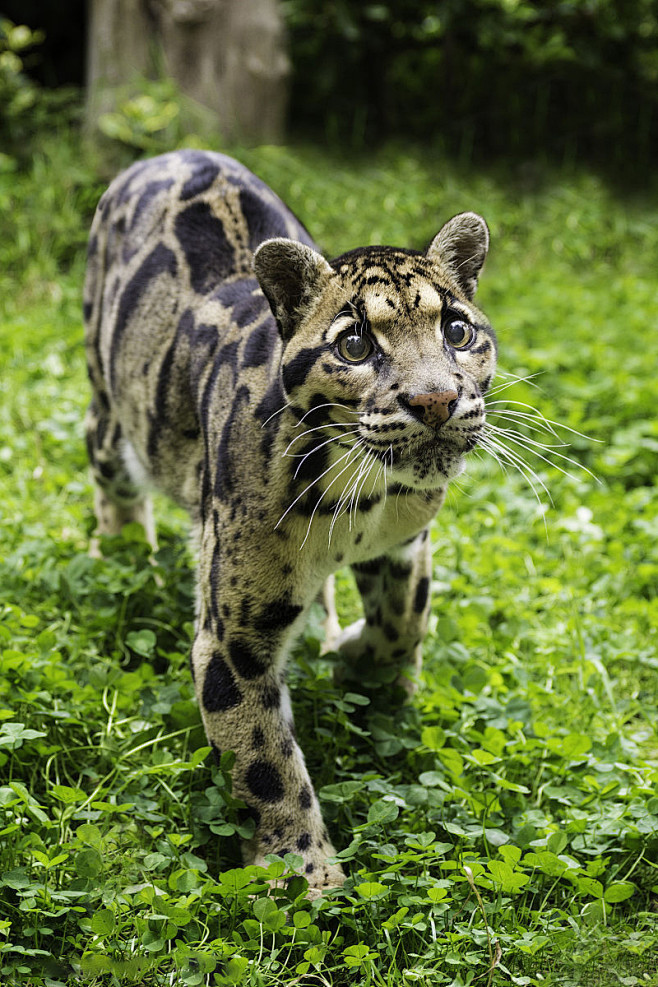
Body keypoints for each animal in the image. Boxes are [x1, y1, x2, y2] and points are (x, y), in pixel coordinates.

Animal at [84, 149, 494, 896]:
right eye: (355, 344)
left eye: (457, 330)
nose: (435, 400)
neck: (364, 496)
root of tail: (173, 152)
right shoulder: (234, 636)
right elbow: (263, 756)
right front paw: (303, 875)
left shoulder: (406, 543)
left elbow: (405, 622)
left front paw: (361, 656)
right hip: (112, 403)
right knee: (108, 462)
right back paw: (124, 551)